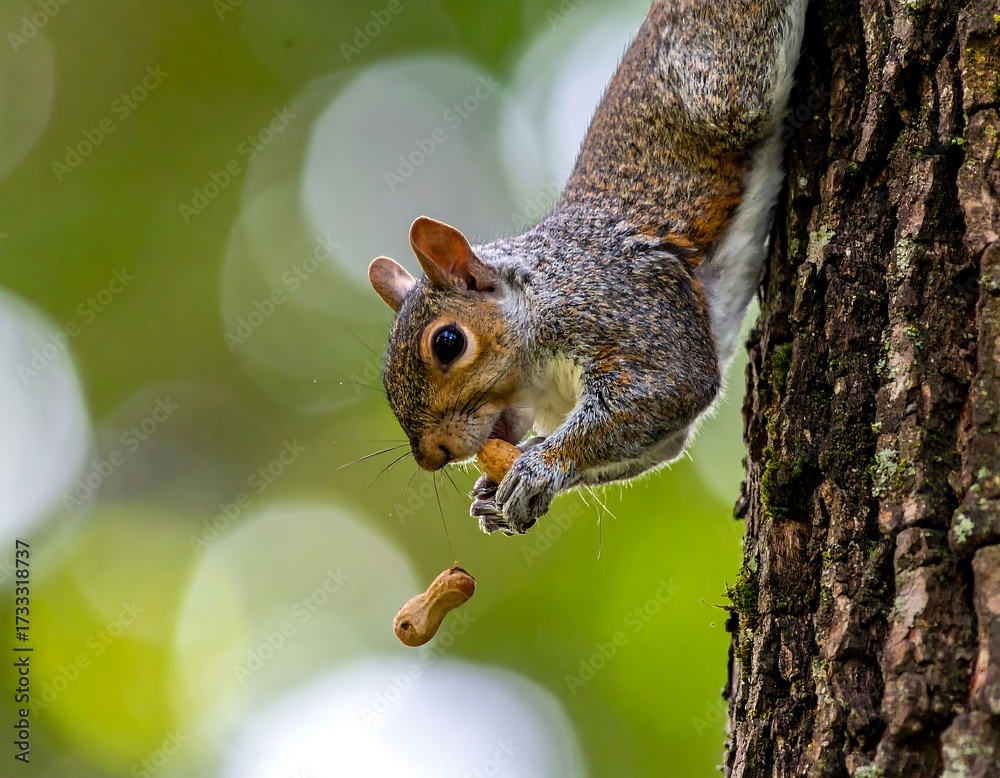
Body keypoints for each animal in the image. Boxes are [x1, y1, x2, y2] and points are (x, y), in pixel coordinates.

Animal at [368, 0, 808, 535]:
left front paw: (538, 468)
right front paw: (497, 493)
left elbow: (669, 385)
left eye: (447, 343)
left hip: (726, 82)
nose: (432, 457)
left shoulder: (622, 307)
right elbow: (659, 443)